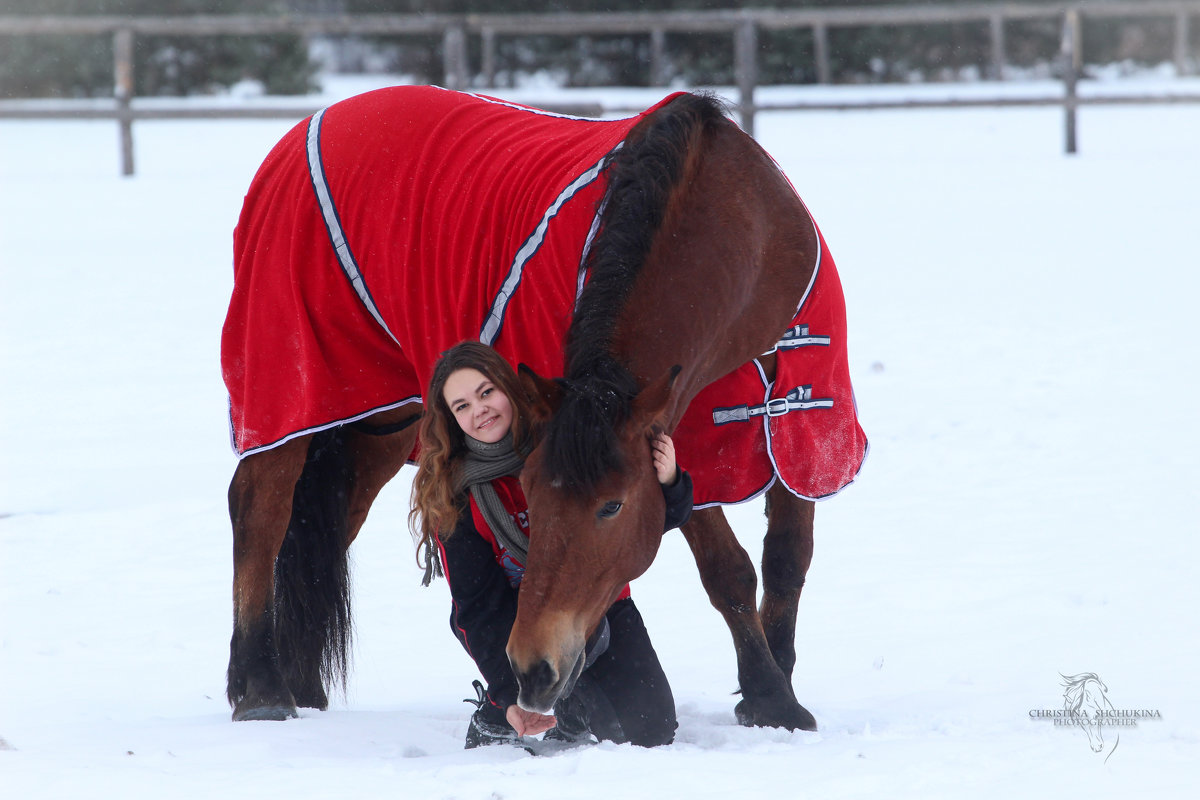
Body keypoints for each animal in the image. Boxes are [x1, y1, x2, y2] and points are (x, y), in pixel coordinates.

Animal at [223, 87, 864, 734]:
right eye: (528, 492)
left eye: (611, 505)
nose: (532, 667)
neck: (749, 241)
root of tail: (314, 121)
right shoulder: (682, 438)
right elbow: (727, 569)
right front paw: (769, 693)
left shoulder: (804, 434)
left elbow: (786, 560)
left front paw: (775, 693)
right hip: (294, 391)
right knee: (261, 506)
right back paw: (260, 687)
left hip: (382, 420)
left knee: (326, 522)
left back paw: (302, 686)